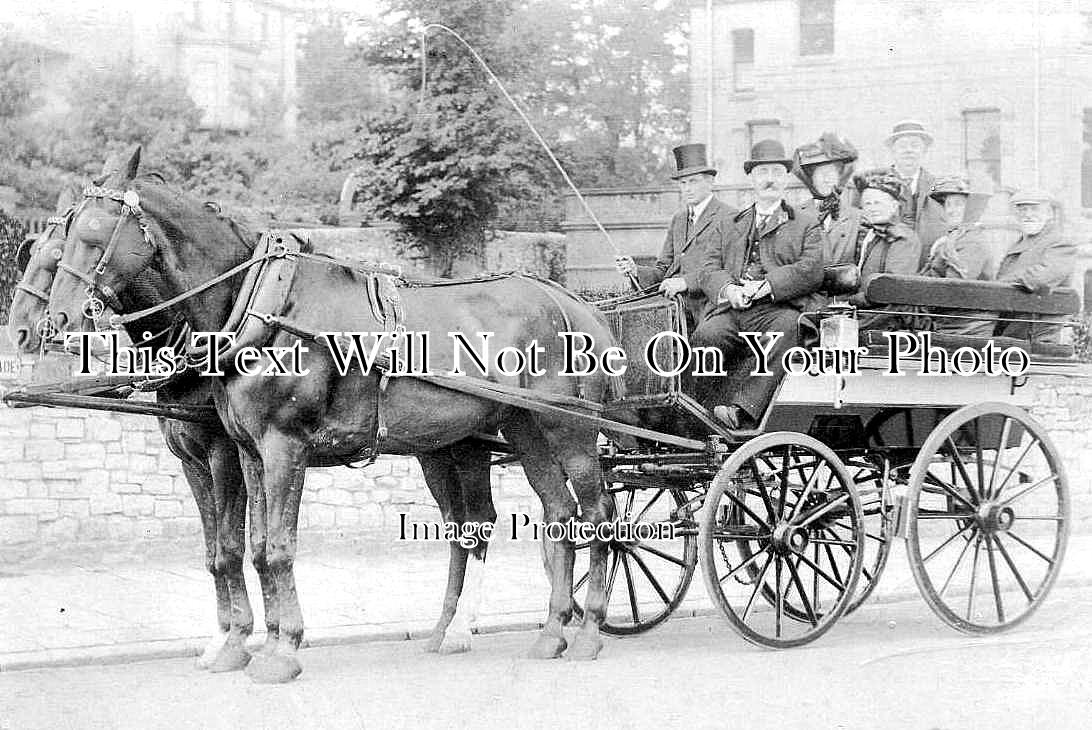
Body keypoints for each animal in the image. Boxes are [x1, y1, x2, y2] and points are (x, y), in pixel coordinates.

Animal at [46, 148, 620, 686]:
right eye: (61, 239)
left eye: (92, 236)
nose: (57, 320)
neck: (259, 306)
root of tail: (571, 300)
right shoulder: (248, 453)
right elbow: (255, 548)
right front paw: (254, 643)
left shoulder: (280, 447)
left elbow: (275, 548)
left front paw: (282, 650)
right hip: (517, 431)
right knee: (553, 515)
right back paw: (547, 631)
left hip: (569, 429)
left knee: (595, 517)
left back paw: (587, 631)